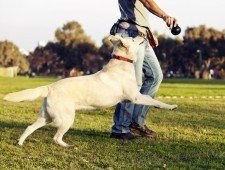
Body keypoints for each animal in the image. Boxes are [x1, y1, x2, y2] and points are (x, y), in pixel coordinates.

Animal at [2, 34, 177, 146]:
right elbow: (154, 100)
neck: (122, 63)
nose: (143, 34)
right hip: (66, 118)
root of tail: (49, 87)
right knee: (56, 137)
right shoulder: (135, 97)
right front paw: (171, 106)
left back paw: (20, 142)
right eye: (133, 39)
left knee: (30, 127)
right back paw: (67, 145)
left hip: (45, 117)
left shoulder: (133, 97)